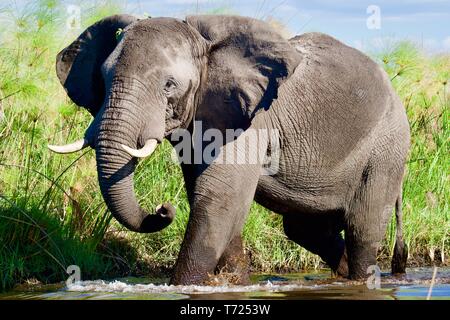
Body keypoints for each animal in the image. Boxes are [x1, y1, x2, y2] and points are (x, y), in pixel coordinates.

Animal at [49, 14, 412, 284]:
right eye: (103, 78)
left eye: (169, 85)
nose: (163, 209)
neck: (205, 43)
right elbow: (211, 195)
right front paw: (233, 281)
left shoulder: (254, 119)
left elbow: (220, 196)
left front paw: (185, 286)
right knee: (306, 230)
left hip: (387, 148)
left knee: (362, 229)